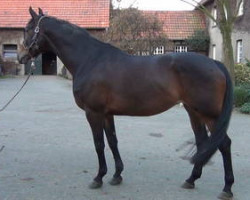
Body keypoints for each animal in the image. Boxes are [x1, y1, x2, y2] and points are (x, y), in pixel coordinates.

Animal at [19, 7, 234, 200]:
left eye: (28, 29)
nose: (21, 57)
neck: (90, 59)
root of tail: (215, 63)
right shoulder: (107, 113)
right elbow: (112, 141)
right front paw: (116, 175)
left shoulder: (93, 112)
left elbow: (99, 144)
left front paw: (98, 178)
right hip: (193, 112)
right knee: (203, 142)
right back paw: (191, 180)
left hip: (209, 115)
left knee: (223, 143)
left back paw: (227, 188)